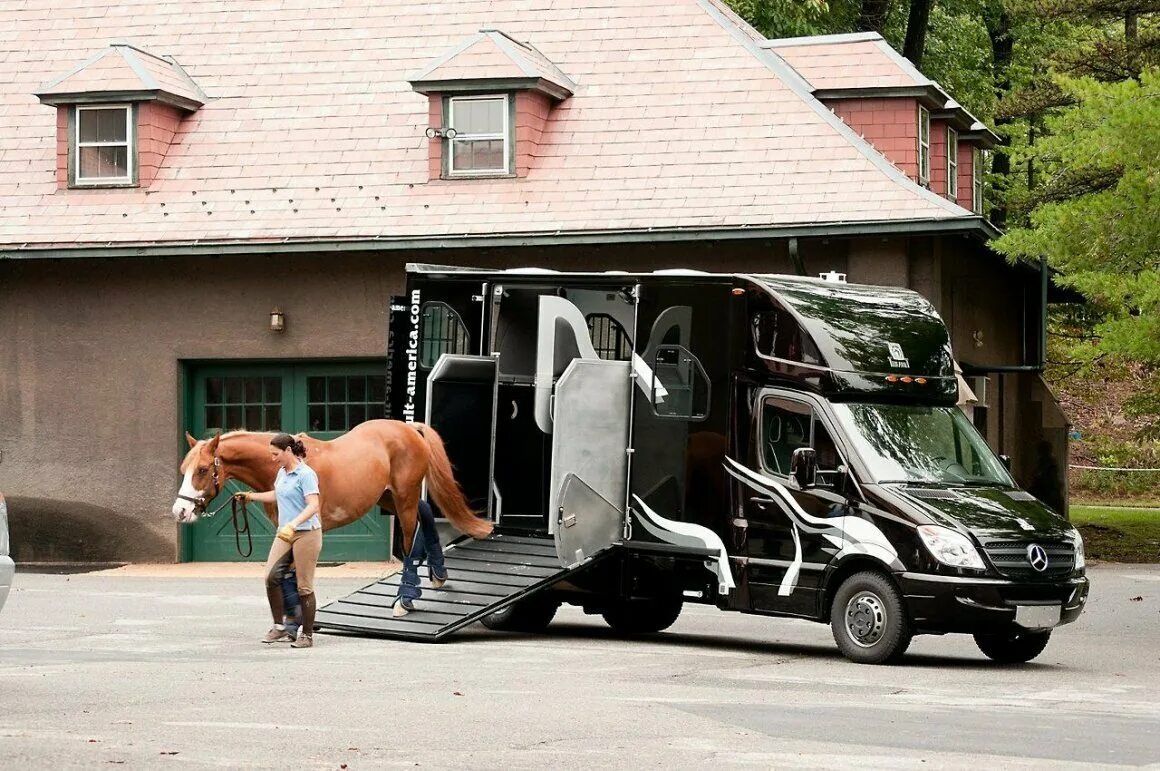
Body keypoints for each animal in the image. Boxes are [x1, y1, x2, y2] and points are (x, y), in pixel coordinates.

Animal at [170, 417, 489, 549]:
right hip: (388, 497)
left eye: (202, 469)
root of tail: (408, 428)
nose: (180, 511)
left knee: (410, 538)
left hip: (404, 498)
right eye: (184, 468)